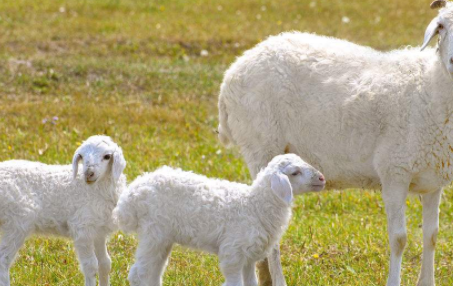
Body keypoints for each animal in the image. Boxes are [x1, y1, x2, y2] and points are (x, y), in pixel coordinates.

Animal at [0, 135, 126, 286]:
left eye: (107, 156)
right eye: (82, 156)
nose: (89, 173)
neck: (97, 188)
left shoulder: (98, 231)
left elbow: (105, 264)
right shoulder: (82, 228)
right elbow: (91, 266)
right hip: (17, 221)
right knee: (3, 260)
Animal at [113, 154, 324, 286]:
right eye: (295, 172)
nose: (322, 178)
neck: (255, 205)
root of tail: (132, 195)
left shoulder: (248, 257)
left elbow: (251, 283)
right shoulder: (233, 252)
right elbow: (235, 283)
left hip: (163, 237)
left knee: (154, 272)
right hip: (153, 233)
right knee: (138, 273)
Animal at [215, 2, 452, 286]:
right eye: (441, 27)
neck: (428, 89)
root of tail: (233, 71)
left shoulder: (433, 180)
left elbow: (432, 236)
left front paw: (427, 280)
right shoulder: (394, 172)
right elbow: (399, 239)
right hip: (261, 146)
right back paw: (278, 280)